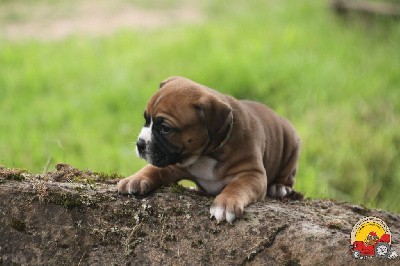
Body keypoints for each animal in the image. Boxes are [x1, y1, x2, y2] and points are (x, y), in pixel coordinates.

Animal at [117, 76, 302, 223]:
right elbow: (152, 168)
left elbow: (237, 186)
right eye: (146, 119)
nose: (140, 144)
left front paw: (225, 204)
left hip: (291, 144)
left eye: (165, 129)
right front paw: (135, 179)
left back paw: (279, 187)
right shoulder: (173, 164)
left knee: (288, 175)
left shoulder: (252, 174)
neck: (204, 155)